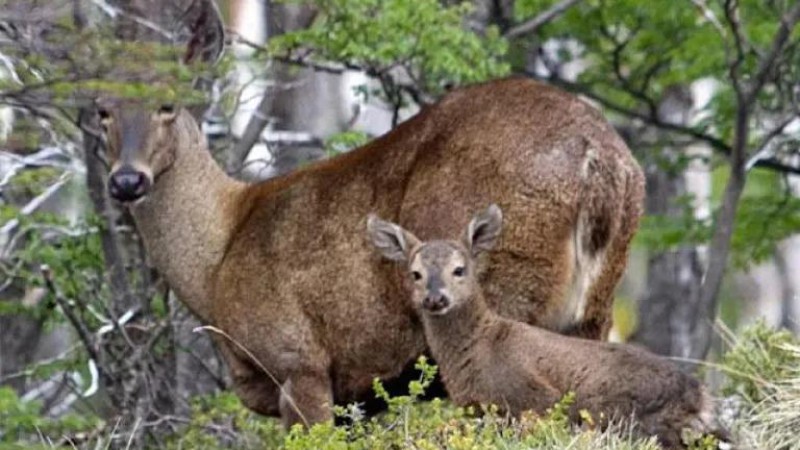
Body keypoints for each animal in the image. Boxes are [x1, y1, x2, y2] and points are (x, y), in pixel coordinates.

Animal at [95, 4, 644, 426]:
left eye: (168, 103)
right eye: (100, 109)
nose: (126, 180)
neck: (217, 261)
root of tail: (601, 157)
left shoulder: (299, 360)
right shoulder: (353, 396)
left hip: (504, 291)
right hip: (595, 305)